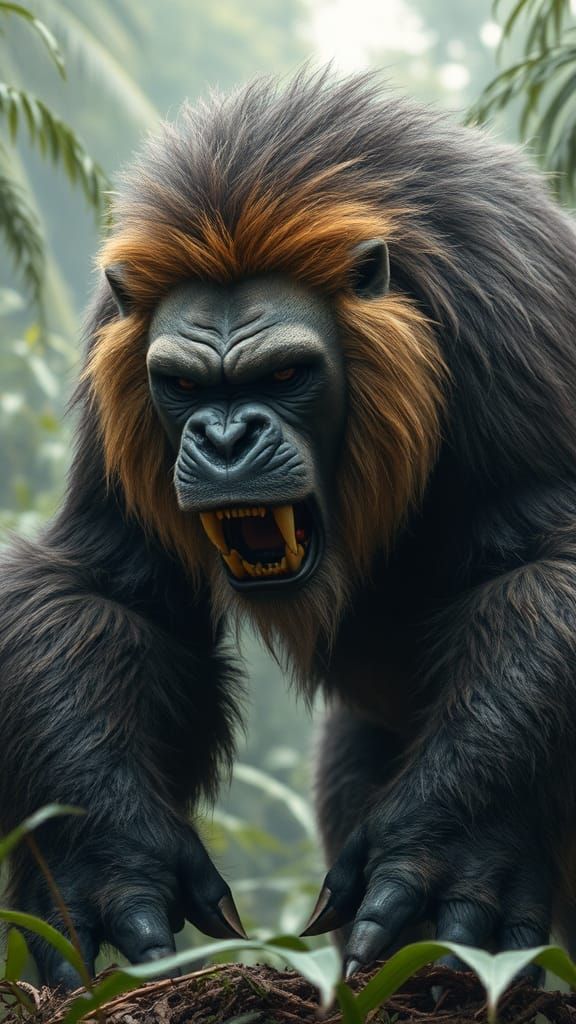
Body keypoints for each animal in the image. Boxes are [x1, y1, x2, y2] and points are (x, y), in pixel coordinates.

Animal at [2, 67, 576, 990]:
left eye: (284, 374)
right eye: (183, 385)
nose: (227, 437)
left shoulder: (514, 325)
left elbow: (536, 567)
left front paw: (451, 839)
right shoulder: (109, 360)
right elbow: (111, 593)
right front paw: (108, 855)